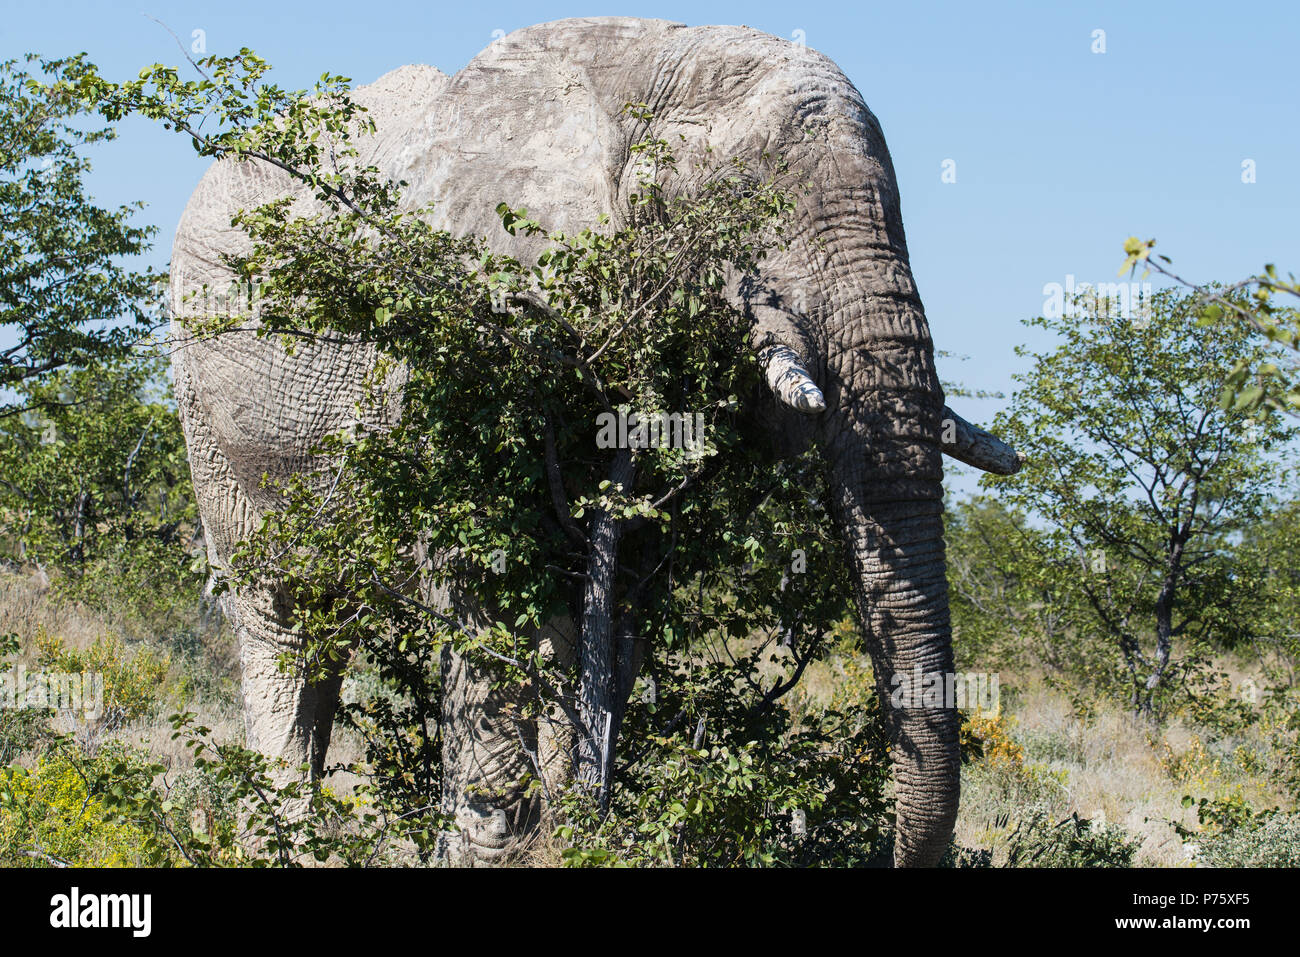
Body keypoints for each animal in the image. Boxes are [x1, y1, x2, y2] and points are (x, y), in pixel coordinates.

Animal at [172, 14, 1019, 868]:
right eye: (741, 203)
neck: (645, 61)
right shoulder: (449, 326)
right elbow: (482, 574)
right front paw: (498, 846)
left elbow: (603, 604)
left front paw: (576, 825)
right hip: (205, 411)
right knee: (280, 616)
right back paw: (283, 838)